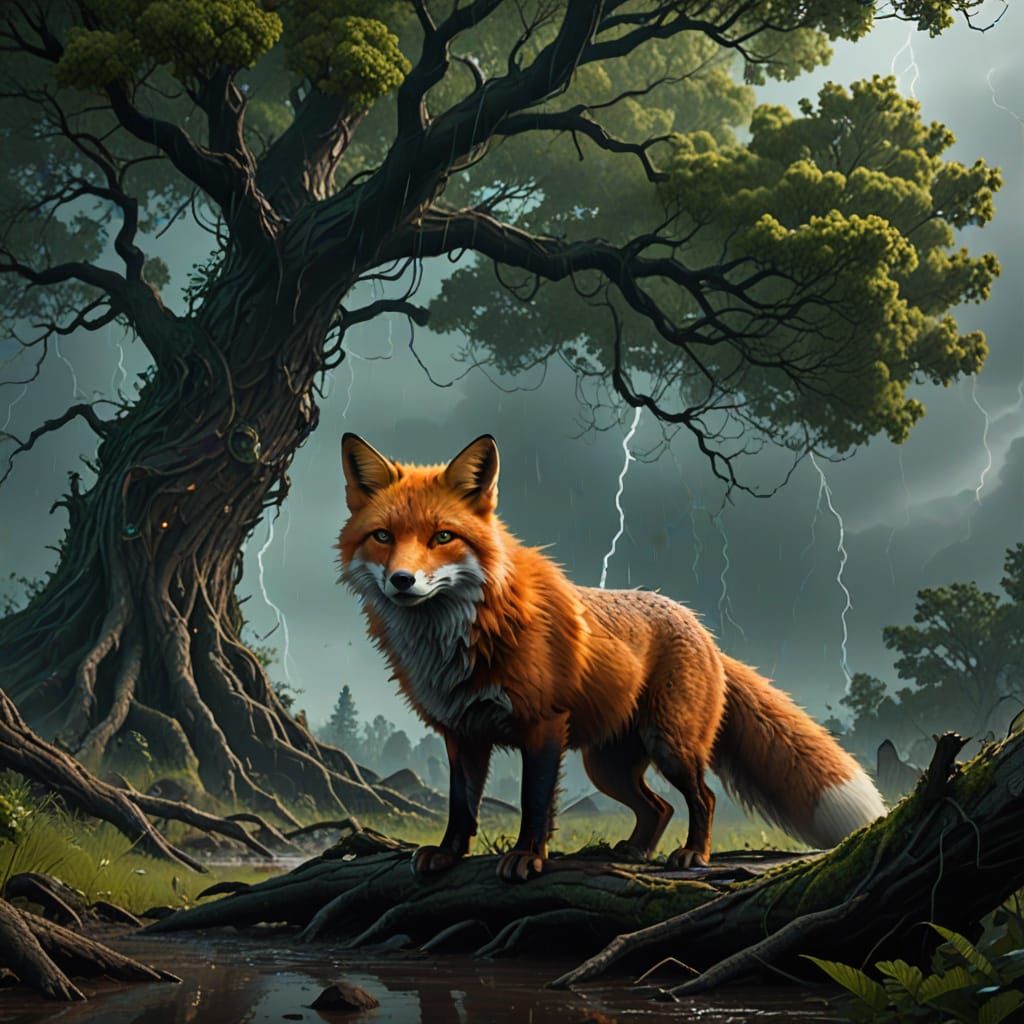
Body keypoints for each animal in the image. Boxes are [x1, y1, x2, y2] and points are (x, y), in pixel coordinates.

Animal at [336, 432, 886, 882]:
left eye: (443, 537)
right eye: (383, 537)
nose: (402, 580)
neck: (454, 643)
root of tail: (702, 629)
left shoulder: (543, 725)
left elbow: (533, 803)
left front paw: (527, 858)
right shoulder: (461, 731)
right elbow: (461, 806)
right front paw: (449, 854)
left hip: (670, 745)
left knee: (702, 797)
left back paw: (693, 854)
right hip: (608, 765)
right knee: (658, 808)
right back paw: (633, 851)